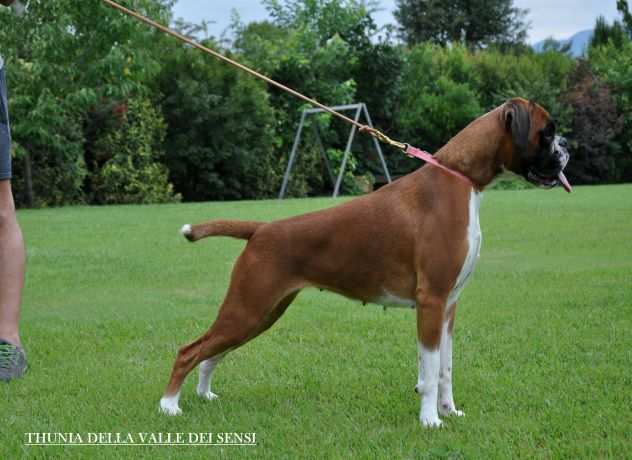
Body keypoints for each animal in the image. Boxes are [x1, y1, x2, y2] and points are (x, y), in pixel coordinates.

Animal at [159, 98, 572, 428]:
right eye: (547, 132)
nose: (567, 146)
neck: (462, 178)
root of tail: (261, 229)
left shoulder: (449, 307)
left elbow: (445, 369)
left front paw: (449, 411)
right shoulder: (432, 301)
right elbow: (430, 369)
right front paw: (430, 420)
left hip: (260, 313)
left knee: (212, 353)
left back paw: (204, 394)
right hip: (248, 308)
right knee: (189, 351)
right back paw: (169, 406)